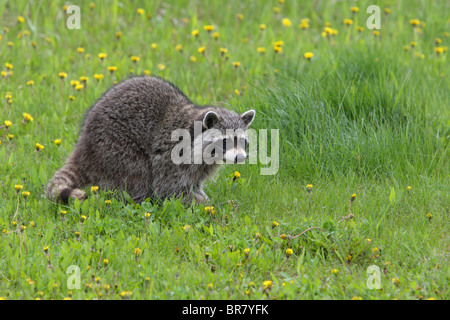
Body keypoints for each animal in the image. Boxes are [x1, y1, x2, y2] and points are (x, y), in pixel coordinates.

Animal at [48, 76, 256, 204]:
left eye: (242, 142)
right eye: (225, 141)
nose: (240, 158)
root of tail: (83, 147)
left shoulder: (201, 166)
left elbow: (193, 183)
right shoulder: (172, 156)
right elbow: (169, 189)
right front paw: (203, 204)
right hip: (114, 147)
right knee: (138, 175)